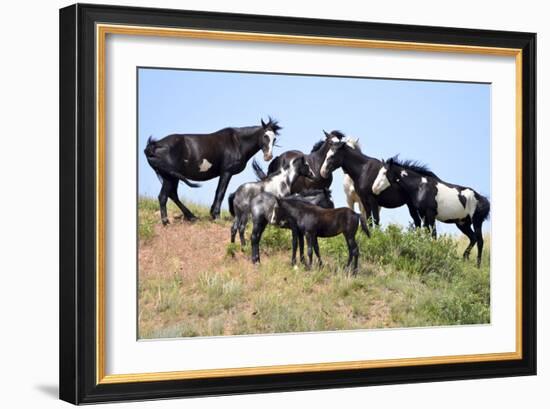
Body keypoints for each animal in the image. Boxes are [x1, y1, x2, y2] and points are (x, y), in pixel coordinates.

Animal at [144, 116, 282, 223]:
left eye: (274, 138)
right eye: (265, 136)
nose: (268, 156)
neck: (237, 142)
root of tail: (154, 146)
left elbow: (218, 192)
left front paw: (213, 214)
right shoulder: (226, 172)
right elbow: (220, 192)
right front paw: (216, 215)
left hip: (172, 176)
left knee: (172, 195)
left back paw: (191, 217)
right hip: (169, 176)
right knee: (163, 196)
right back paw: (166, 221)